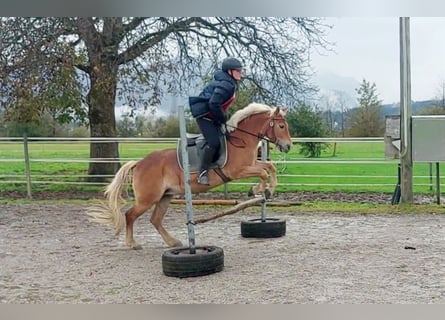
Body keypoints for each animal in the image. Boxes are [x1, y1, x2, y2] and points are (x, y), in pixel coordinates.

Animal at [88, 102, 294, 248]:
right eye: (281, 126)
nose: (288, 147)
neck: (241, 139)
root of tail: (139, 163)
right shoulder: (238, 171)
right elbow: (263, 173)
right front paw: (258, 190)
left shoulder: (251, 164)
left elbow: (269, 167)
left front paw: (266, 190)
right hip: (148, 198)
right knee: (130, 215)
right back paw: (132, 244)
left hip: (165, 197)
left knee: (155, 220)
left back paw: (173, 242)